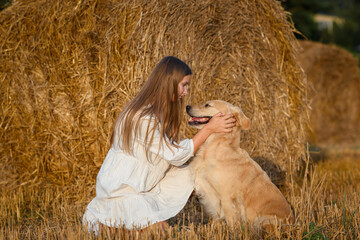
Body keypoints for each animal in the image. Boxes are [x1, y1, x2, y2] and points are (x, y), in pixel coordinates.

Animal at [187, 100, 294, 230]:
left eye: (207, 105)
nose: (187, 106)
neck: (216, 146)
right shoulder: (206, 189)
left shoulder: (226, 196)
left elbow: (231, 222)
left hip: (263, 220)